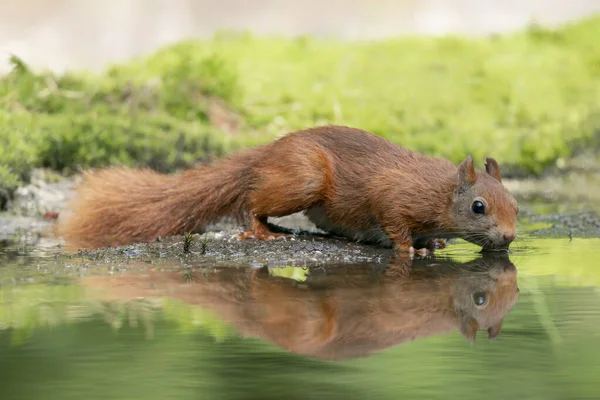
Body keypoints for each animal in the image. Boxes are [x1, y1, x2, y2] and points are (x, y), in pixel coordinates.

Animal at [56, 126, 516, 256]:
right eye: (478, 207)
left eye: (515, 204)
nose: (510, 237)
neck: (439, 191)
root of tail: (266, 153)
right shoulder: (393, 196)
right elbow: (393, 223)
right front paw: (411, 249)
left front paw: (435, 241)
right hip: (304, 178)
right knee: (250, 201)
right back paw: (261, 230)